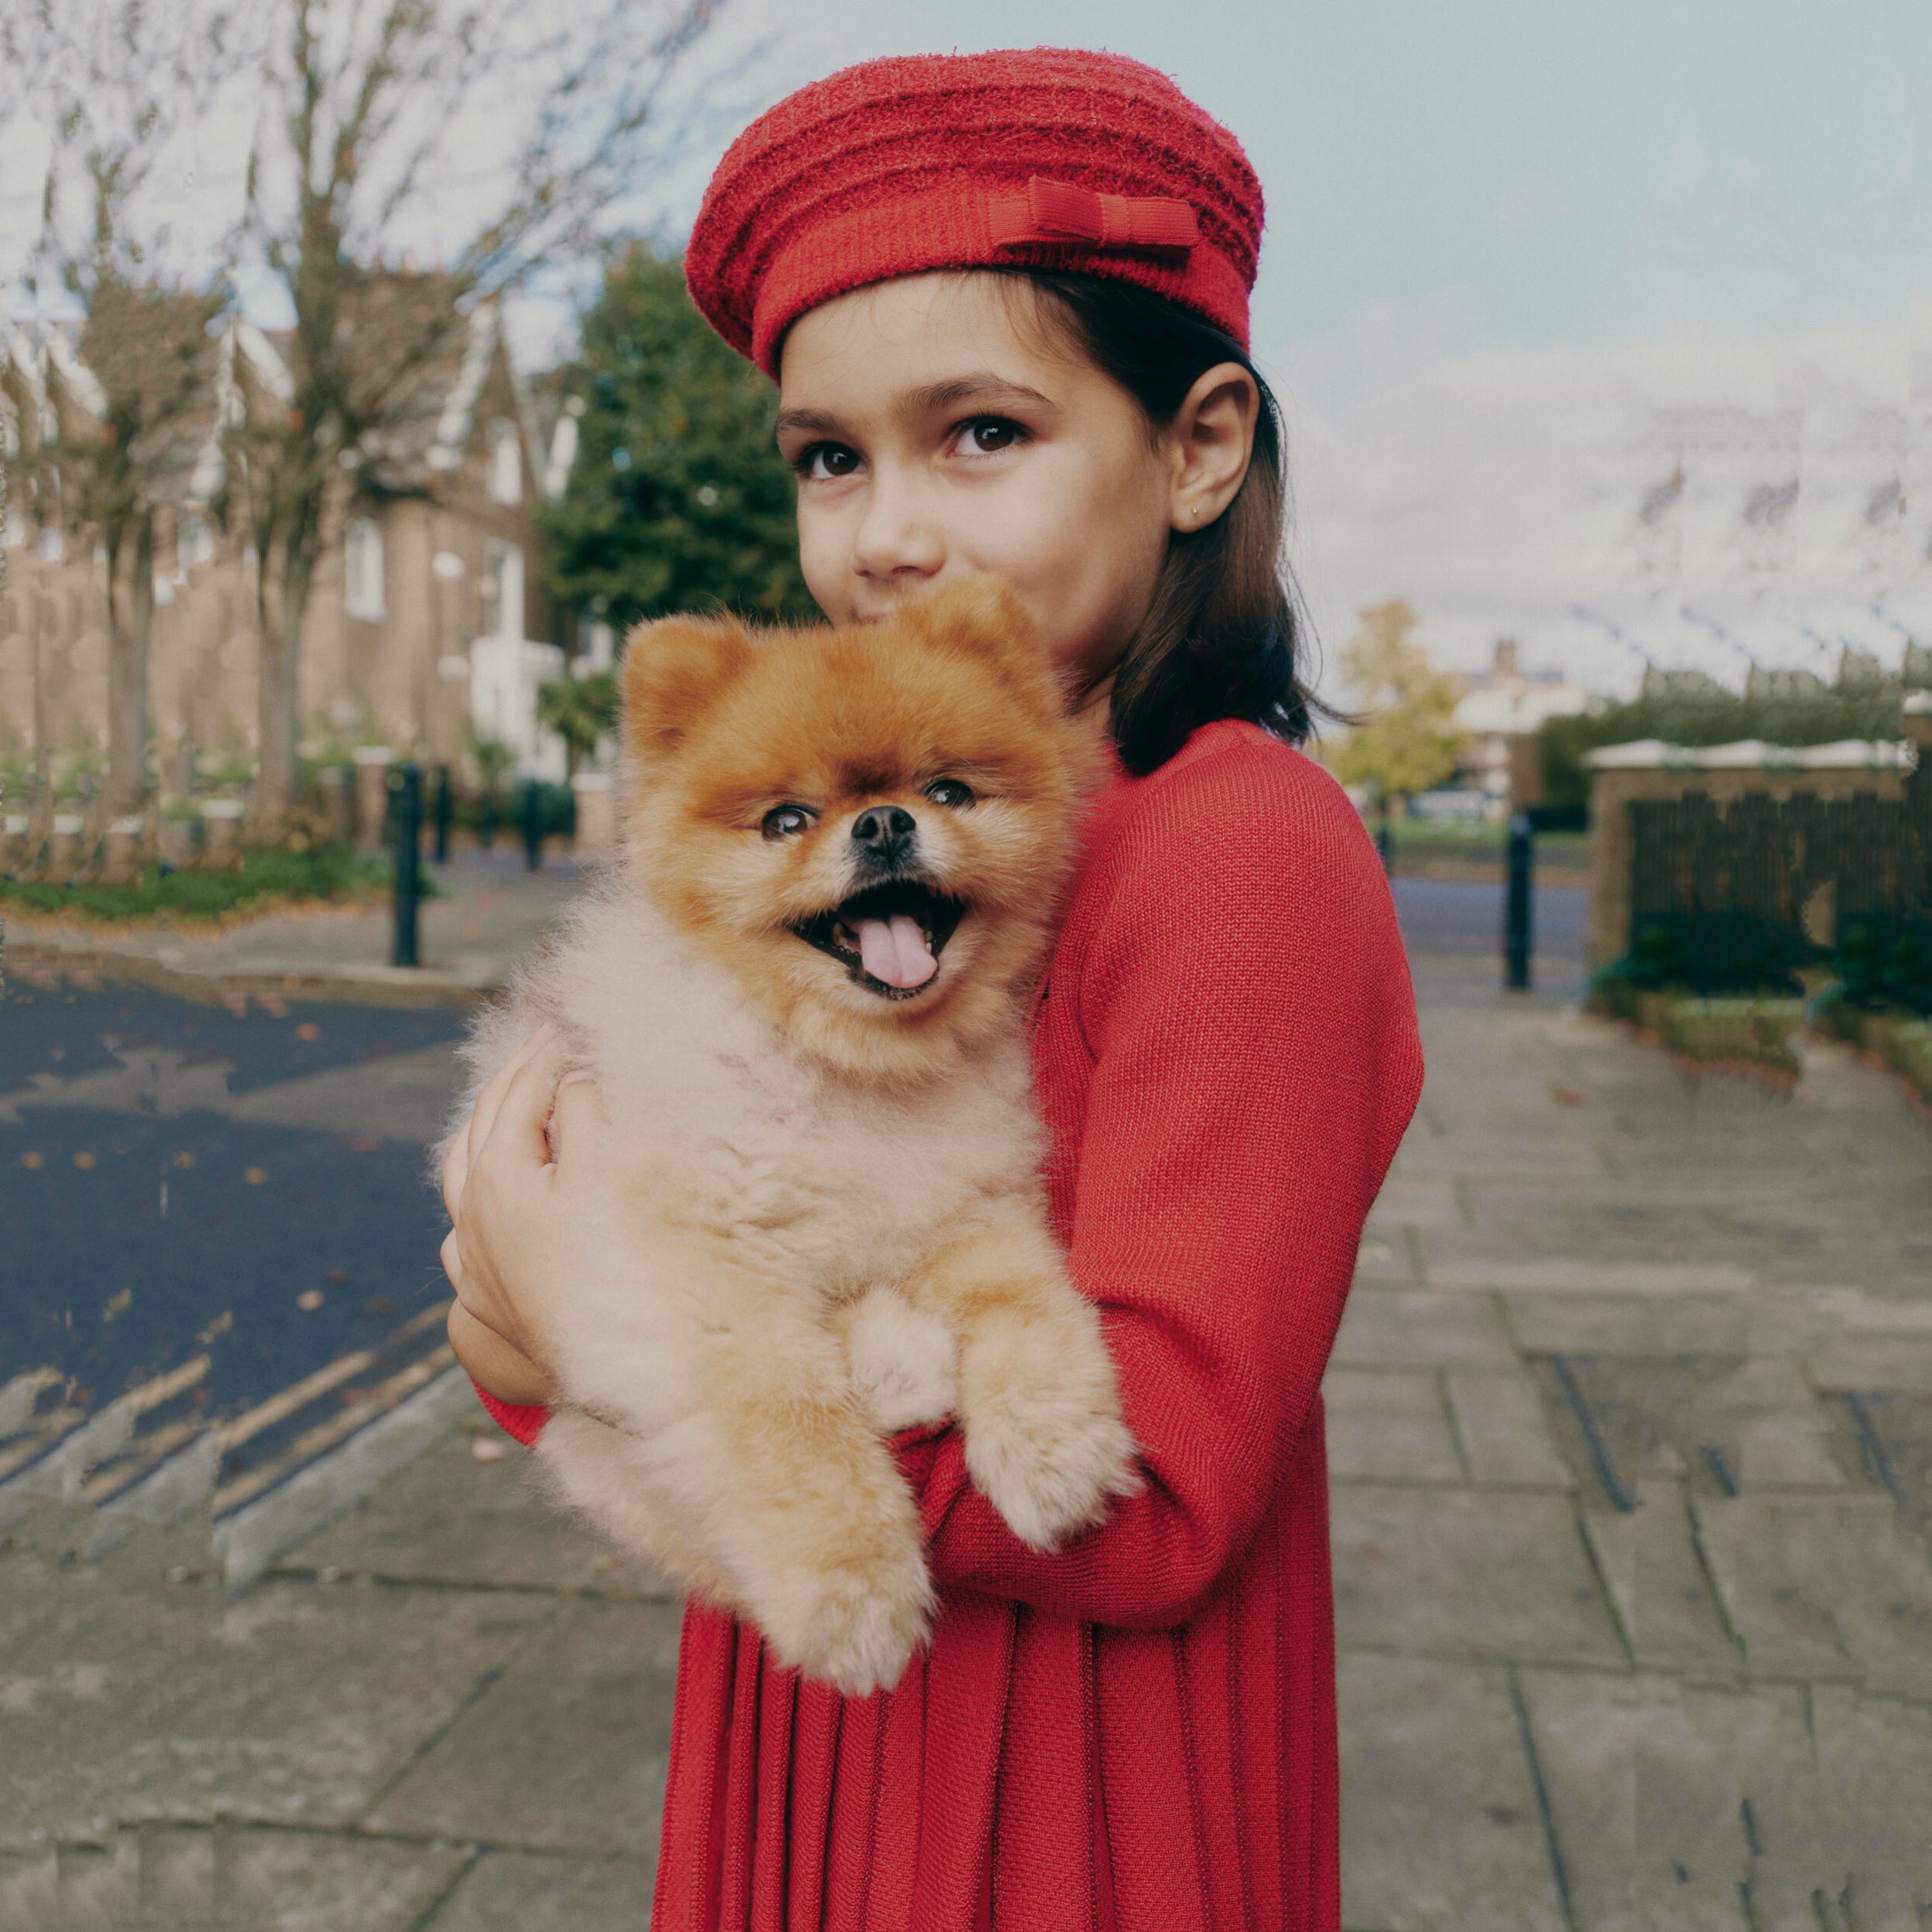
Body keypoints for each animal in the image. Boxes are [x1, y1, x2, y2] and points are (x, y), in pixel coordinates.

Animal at [448, 575, 1143, 1692]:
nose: (885, 823)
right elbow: (790, 1423)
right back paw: (899, 1358)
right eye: (786, 820)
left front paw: (1053, 1447)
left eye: (949, 791)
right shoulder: (699, 1270)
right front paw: (852, 1592)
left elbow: (1025, 1302)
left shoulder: (968, 1204)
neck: (846, 1073)